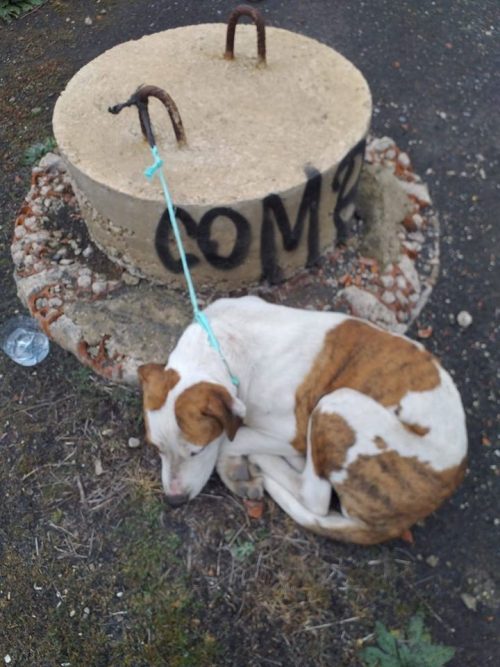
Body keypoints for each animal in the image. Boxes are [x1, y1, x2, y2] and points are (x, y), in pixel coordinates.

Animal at [139, 296, 466, 544]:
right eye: (156, 449)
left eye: (197, 451)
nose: (175, 501)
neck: (222, 343)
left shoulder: (290, 432)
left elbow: (230, 440)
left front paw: (234, 463)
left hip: (337, 403)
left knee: (314, 497)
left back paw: (264, 460)